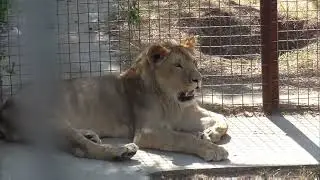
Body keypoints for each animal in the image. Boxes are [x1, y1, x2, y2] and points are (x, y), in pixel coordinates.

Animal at [0, 37, 230, 161]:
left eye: (195, 62)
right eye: (178, 65)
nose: (198, 79)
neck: (171, 100)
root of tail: (5, 105)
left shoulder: (188, 113)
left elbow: (222, 118)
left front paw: (210, 134)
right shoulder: (146, 132)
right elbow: (183, 138)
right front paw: (213, 149)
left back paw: (91, 134)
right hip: (50, 120)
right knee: (83, 149)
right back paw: (123, 151)